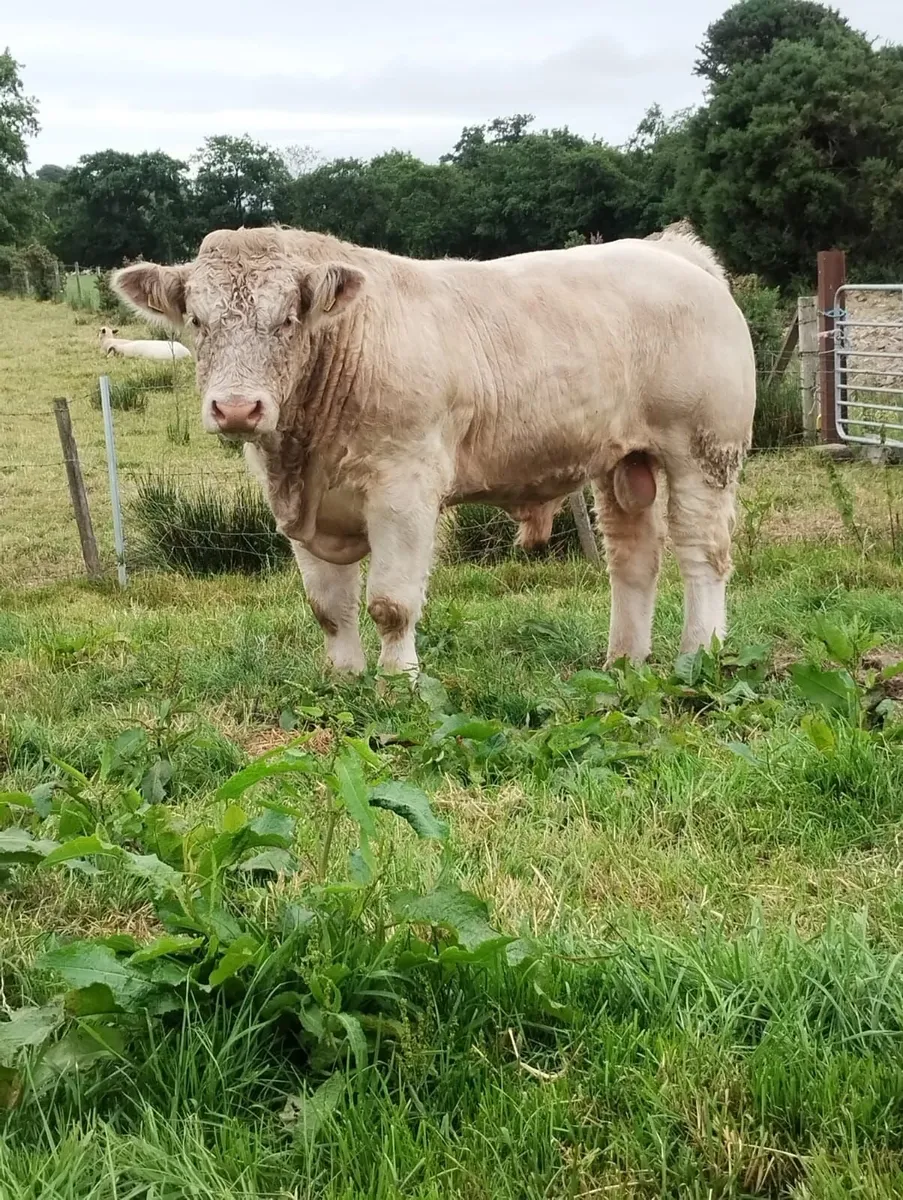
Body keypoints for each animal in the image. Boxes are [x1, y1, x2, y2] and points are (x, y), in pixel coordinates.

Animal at [113, 224, 756, 677]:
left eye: (289, 318)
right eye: (197, 320)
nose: (237, 408)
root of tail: (673, 252)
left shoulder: (404, 489)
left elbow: (391, 603)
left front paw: (398, 685)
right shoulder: (302, 508)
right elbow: (330, 608)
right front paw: (343, 681)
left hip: (706, 449)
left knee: (702, 554)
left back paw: (697, 657)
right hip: (624, 461)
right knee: (633, 558)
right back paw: (623, 662)